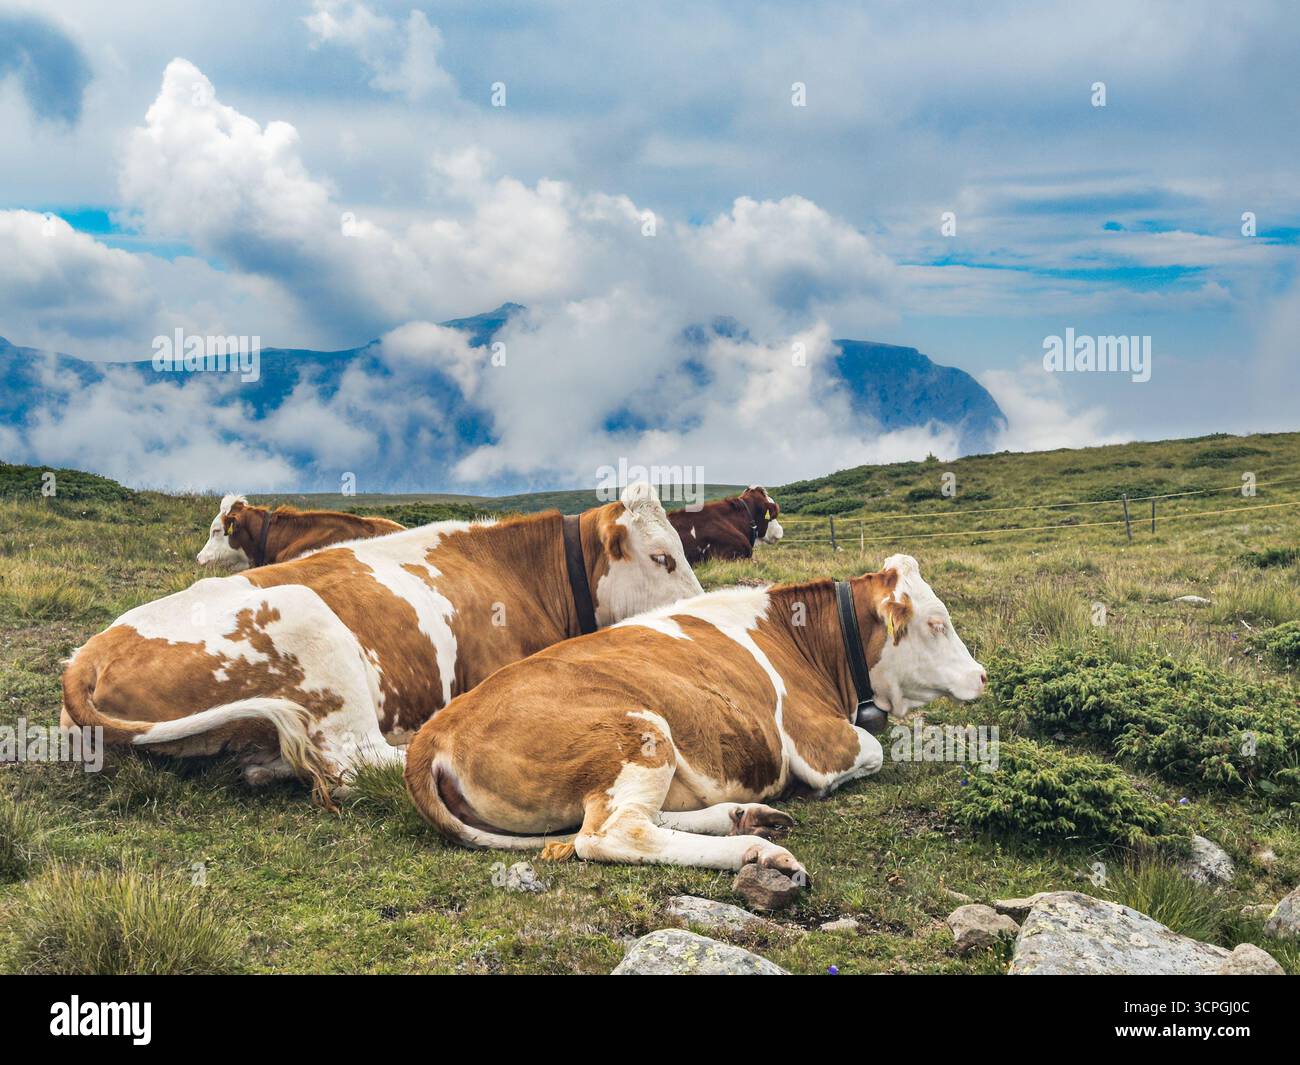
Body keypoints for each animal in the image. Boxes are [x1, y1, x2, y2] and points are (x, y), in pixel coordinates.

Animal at [405, 554, 986, 880]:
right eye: (937, 622)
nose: (981, 675)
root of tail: (435, 729)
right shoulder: (817, 741)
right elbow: (874, 748)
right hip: (641, 732)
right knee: (612, 834)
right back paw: (755, 851)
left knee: (626, 818)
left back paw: (744, 818)